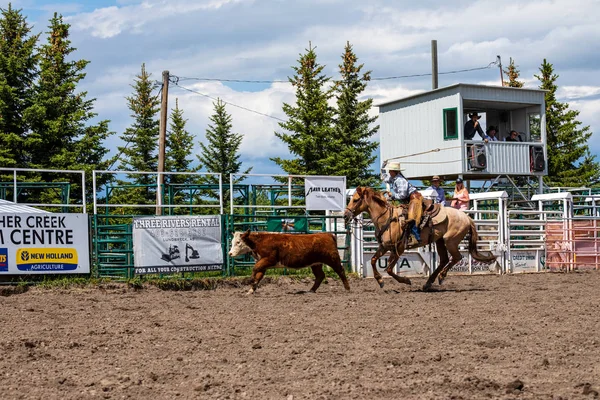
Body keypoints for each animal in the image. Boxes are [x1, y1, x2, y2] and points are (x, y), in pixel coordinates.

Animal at [344, 188, 494, 290]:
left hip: (450, 241)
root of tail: (466, 217)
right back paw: (428, 283)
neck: (387, 218)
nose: (345, 215)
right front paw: (380, 281)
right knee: (444, 260)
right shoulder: (384, 246)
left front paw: (405, 280)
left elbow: (389, 269)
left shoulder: (399, 248)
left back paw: (441, 277)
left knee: (456, 257)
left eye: (355, 200)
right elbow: (374, 260)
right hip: (440, 241)